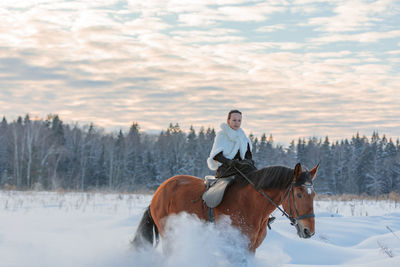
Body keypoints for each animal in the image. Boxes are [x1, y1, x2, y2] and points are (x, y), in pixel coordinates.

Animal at [133, 163, 318, 253]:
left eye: (314, 194)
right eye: (299, 194)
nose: (308, 231)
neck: (252, 205)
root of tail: (158, 192)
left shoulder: (251, 249)